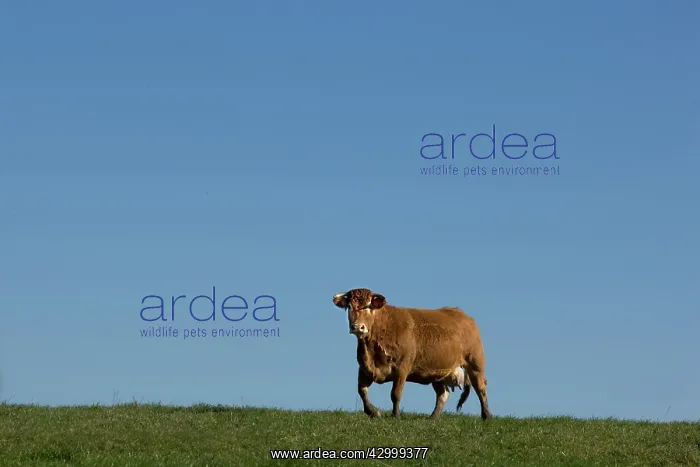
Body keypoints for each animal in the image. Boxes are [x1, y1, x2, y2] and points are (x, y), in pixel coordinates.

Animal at [332, 288, 492, 421]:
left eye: (368, 306)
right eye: (349, 306)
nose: (357, 327)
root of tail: (462, 314)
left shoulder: (402, 367)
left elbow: (395, 393)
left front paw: (395, 415)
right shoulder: (364, 368)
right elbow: (362, 391)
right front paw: (373, 412)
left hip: (475, 363)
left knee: (481, 388)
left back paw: (487, 415)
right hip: (438, 372)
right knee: (443, 394)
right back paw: (433, 417)